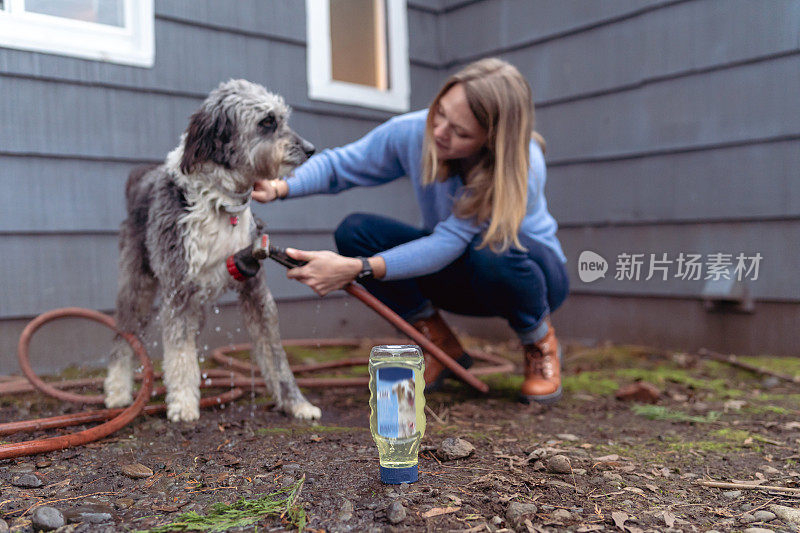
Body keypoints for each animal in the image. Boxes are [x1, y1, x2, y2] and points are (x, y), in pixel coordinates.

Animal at [104, 78, 320, 420]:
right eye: (267, 122)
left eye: (283, 118)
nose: (311, 149)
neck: (222, 204)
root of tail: (138, 179)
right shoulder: (178, 290)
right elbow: (179, 351)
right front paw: (182, 404)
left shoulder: (255, 288)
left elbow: (275, 355)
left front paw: (296, 403)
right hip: (137, 284)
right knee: (123, 335)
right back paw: (117, 391)